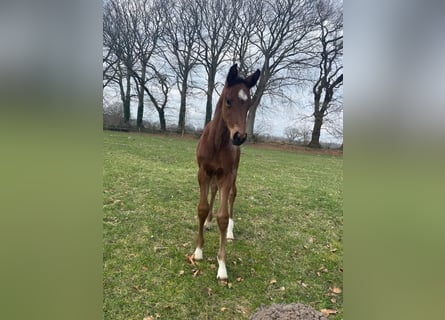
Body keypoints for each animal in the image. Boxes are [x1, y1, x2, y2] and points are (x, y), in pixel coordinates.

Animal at [192, 63, 260, 280]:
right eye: (228, 101)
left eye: (249, 104)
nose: (239, 137)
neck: (216, 143)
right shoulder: (203, 172)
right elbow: (202, 208)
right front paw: (198, 251)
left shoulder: (227, 175)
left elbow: (222, 216)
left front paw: (222, 265)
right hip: (214, 175)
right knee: (214, 191)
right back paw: (208, 222)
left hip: (233, 174)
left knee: (232, 196)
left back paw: (230, 231)